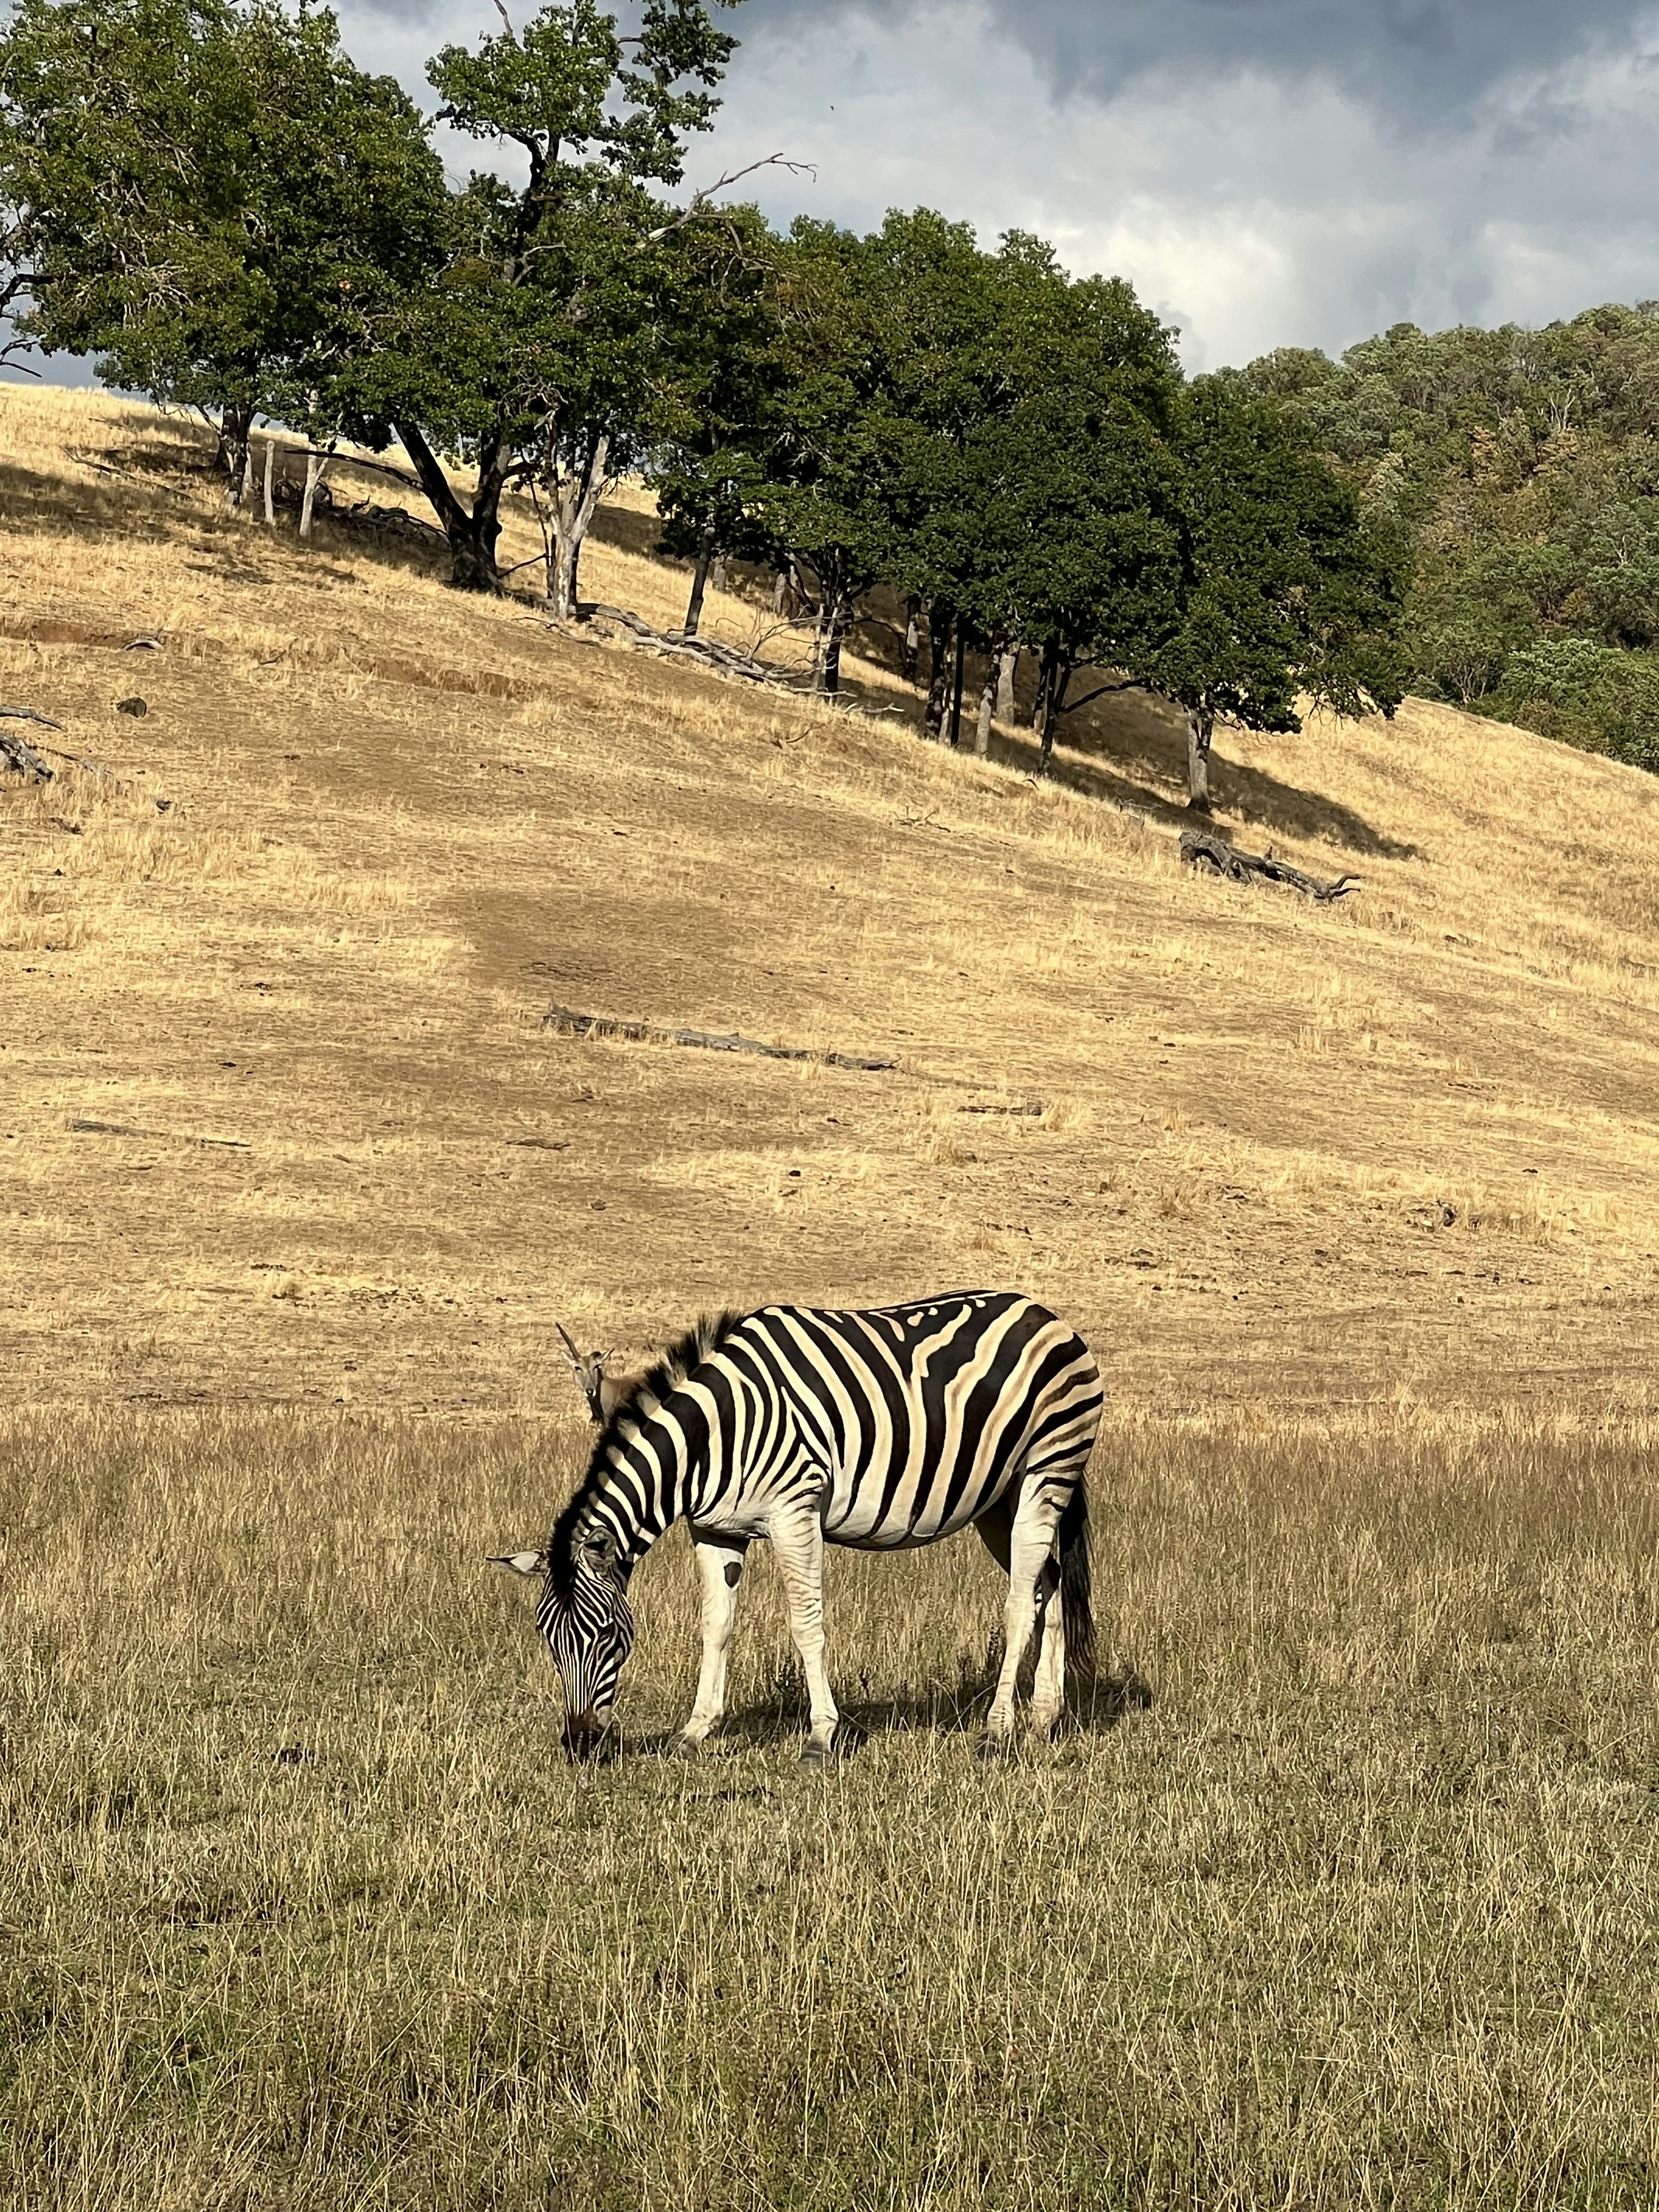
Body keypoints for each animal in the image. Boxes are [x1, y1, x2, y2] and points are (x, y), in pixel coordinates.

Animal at [494, 1290, 1104, 1763]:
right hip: (1000, 1500)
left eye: (605, 1635)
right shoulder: (715, 1531)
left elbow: (806, 1625)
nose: (578, 1745)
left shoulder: (795, 1514)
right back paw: (1045, 1717)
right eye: (546, 1638)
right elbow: (715, 1626)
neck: (713, 1435)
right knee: (1048, 1583)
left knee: (1021, 1600)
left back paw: (998, 1733)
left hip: (1048, 1467)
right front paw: (694, 1733)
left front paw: (820, 1737)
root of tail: (1047, 1313)